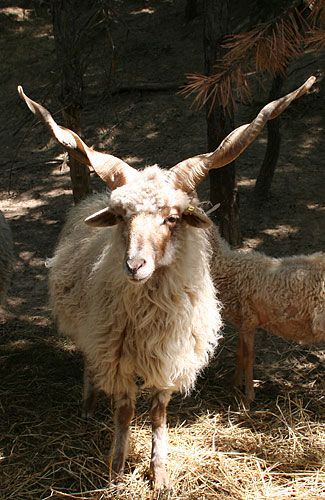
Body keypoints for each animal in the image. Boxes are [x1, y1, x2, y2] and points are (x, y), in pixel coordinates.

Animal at [210, 226, 324, 402]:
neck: (226, 266)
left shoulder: (249, 319)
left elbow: (248, 357)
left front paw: (248, 396)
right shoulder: (243, 322)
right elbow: (239, 354)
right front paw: (234, 385)